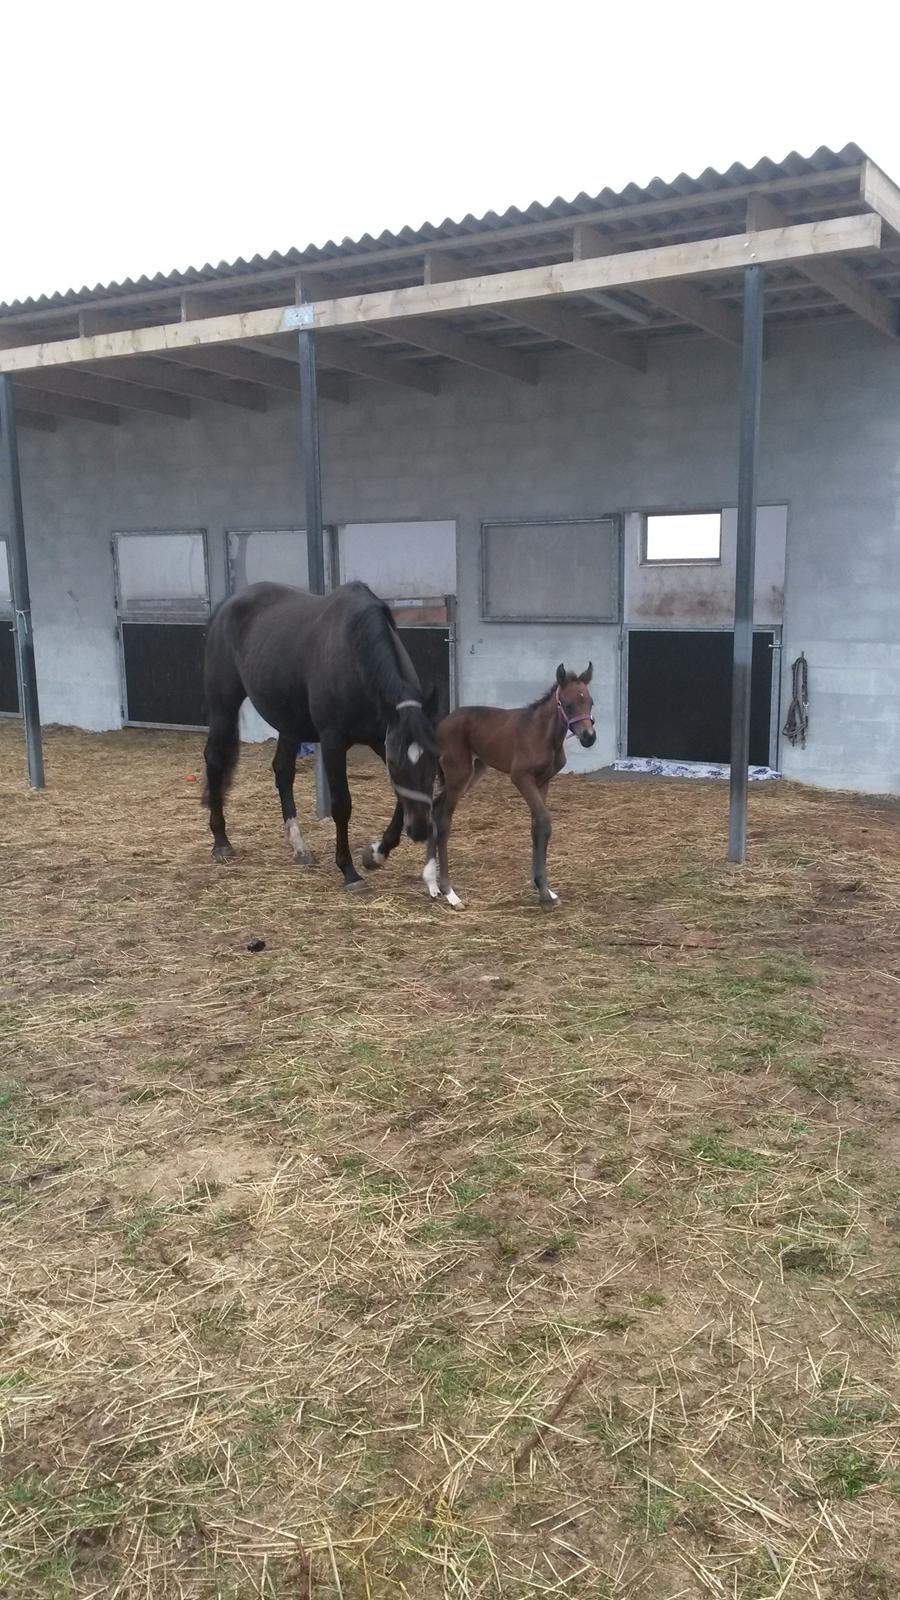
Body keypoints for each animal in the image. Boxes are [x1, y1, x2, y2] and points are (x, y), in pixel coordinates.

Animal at [204, 585, 441, 889]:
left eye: (434, 759)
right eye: (398, 764)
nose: (421, 829)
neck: (355, 658)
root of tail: (227, 604)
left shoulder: (383, 738)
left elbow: (401, 798)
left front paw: (376, 854)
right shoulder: (333, 741)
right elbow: (342, 804)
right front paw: (349, 871)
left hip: (289, 722)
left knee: (283, 771)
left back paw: (299, 846)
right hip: (223, 706)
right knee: (215, 760)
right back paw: (221, 841)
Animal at [422, 662, 592, 908]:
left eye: (590, 702)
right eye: (568, 705)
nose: (589, 737)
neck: (541, 733)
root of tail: (441, 724)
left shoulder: (543, 780)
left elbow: (537, 826)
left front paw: (545, 890)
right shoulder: (521, 777)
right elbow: (543, 821)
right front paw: (543, 892)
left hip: (471, 774)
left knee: (435, 809)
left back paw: (431, 883)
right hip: (458, 775)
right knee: (444, 821)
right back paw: (450, 893)